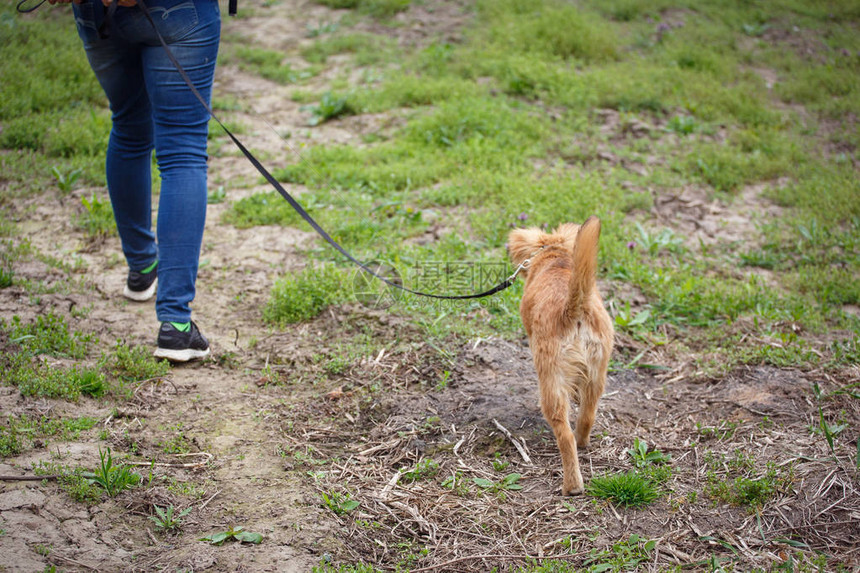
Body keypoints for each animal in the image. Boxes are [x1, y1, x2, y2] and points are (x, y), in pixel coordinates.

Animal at [508, 217, 616, 494]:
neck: (554, 258)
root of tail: (574, 307)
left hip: (551, 383)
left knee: (564, 436)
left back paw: (572, 485)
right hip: (597, 374)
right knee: (587, 416)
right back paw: (583, 441)